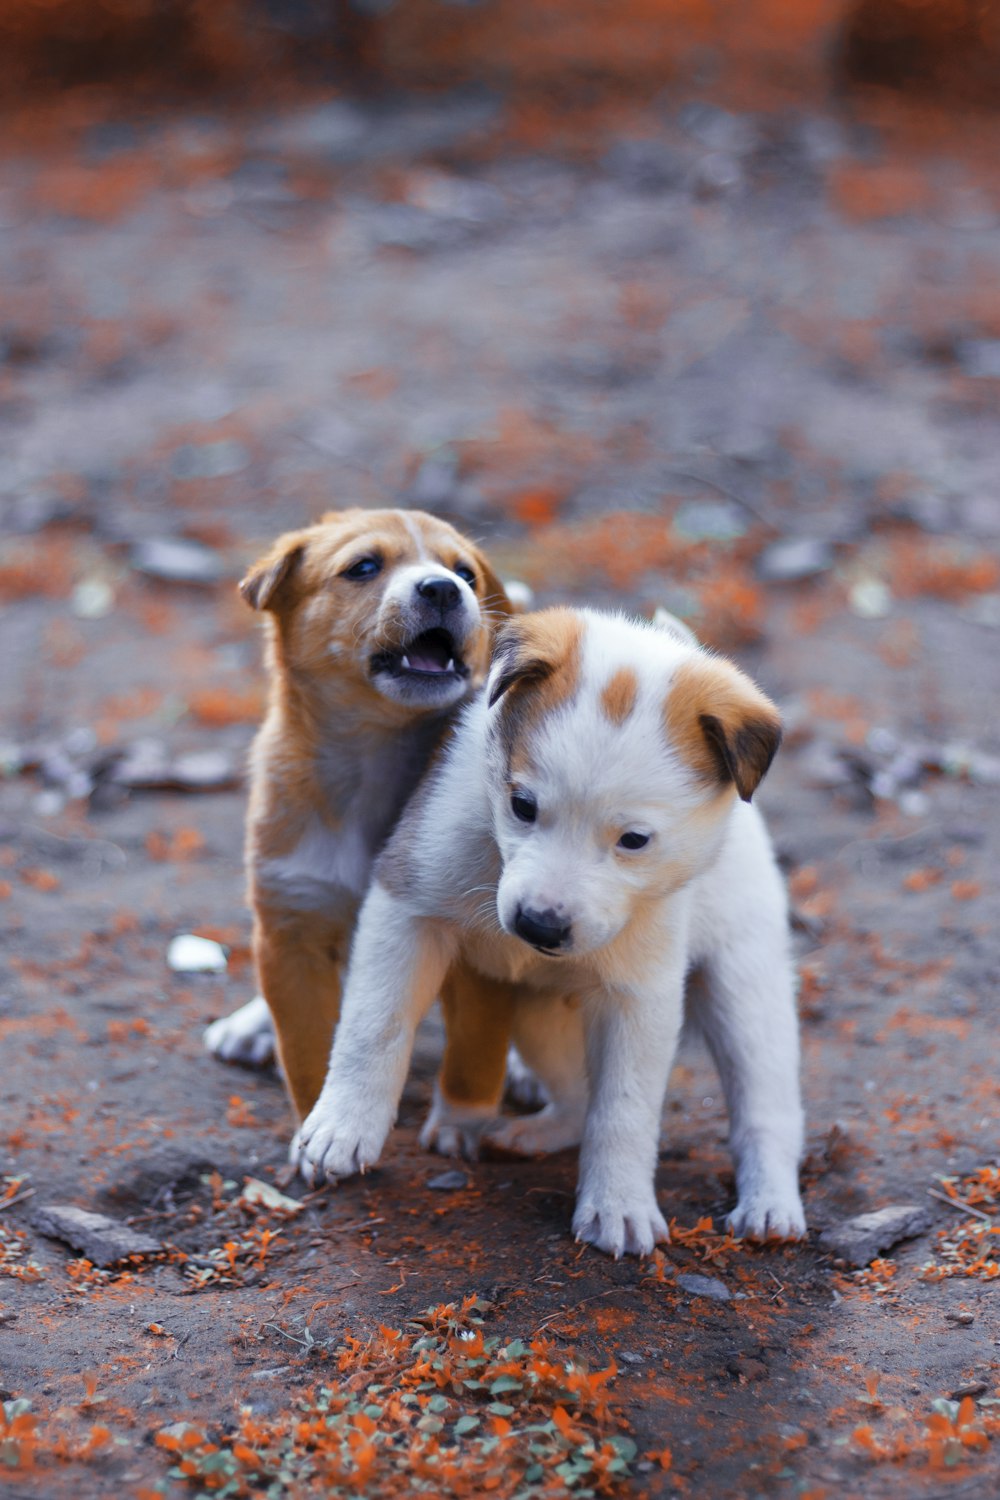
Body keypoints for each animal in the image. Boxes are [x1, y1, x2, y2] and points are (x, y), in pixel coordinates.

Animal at [205, 510, 515, 1122]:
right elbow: (307, 1050)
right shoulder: (292, 920)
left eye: (465, 572)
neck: (372, 762)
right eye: (363, 567)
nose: (444, 588)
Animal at [290, 606, 803, 1254]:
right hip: (538, 1018)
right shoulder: (405, 909)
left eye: (634, 840)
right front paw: (342, 1125)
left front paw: (618, 1205)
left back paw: (770, 1205)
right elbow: (373, 1026)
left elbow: (625, 1108)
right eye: (523, 805)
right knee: (577, 1097)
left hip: (745, 991)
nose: (538, 925)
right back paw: (531, 1134)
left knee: (765, 1110)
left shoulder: (640, 997)